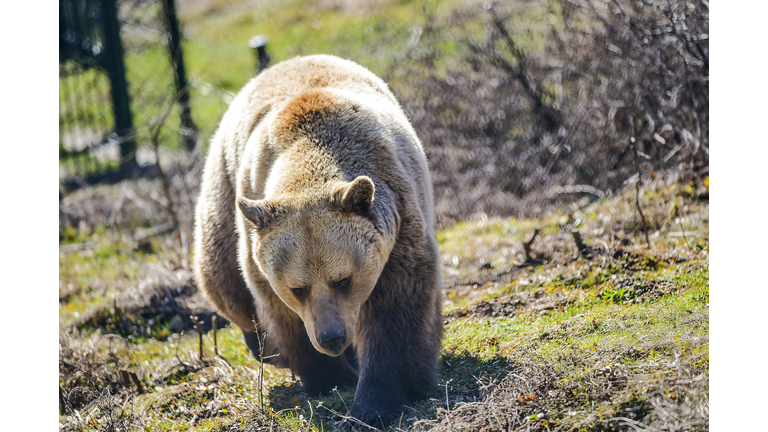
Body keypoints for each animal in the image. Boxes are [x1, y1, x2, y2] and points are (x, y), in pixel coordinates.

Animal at [194, 53, 444, 426]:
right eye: (298, 289)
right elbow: (283, 316)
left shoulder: (399, 224)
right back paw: (265, 347)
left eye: (343, 280)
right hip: (223, 188)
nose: (332, 337)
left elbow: (396, 312)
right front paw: (331, 378)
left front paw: (375, 401)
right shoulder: (262, 246)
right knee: (223, 279)